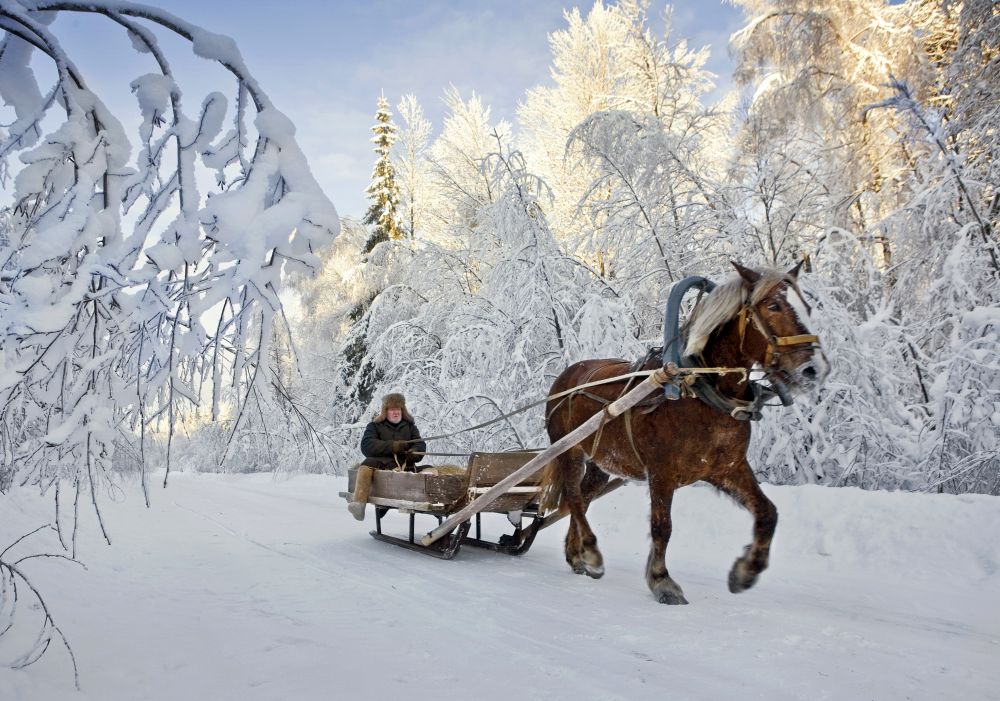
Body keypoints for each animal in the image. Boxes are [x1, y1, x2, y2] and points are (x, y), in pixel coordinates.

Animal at [540, 262, 828, 600]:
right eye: (773, 306)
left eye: (808, 306)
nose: (811, 369)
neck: (702, 389)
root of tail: (565, 377)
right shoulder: (661, 472)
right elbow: (662, 526)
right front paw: (662, 580)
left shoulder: (728, 469)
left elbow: (768, 512)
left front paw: (746, 570)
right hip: (569, 452)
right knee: (573, 498)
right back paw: (591, 552)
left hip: (601, 463)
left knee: (581, 501)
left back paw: (577, 555)